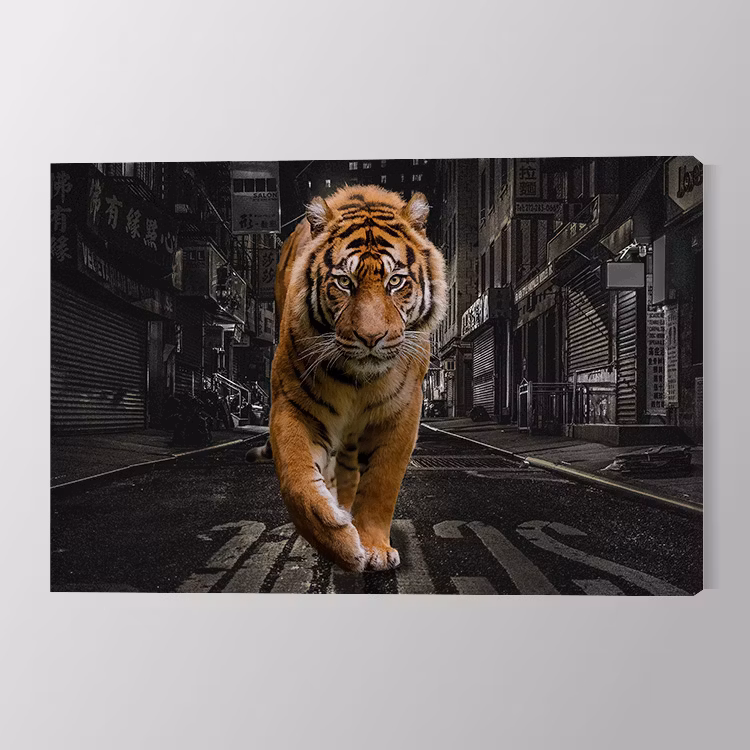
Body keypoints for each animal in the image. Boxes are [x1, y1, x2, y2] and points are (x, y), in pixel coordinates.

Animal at [247, 184, 446, 572]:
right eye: (344, 282)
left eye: (395, 281)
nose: (371, 338)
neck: (359, 381)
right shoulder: (293, 405)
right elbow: (297, 480)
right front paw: (339, 540)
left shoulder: (401, 413)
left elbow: (381, 482)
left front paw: (373, 546)